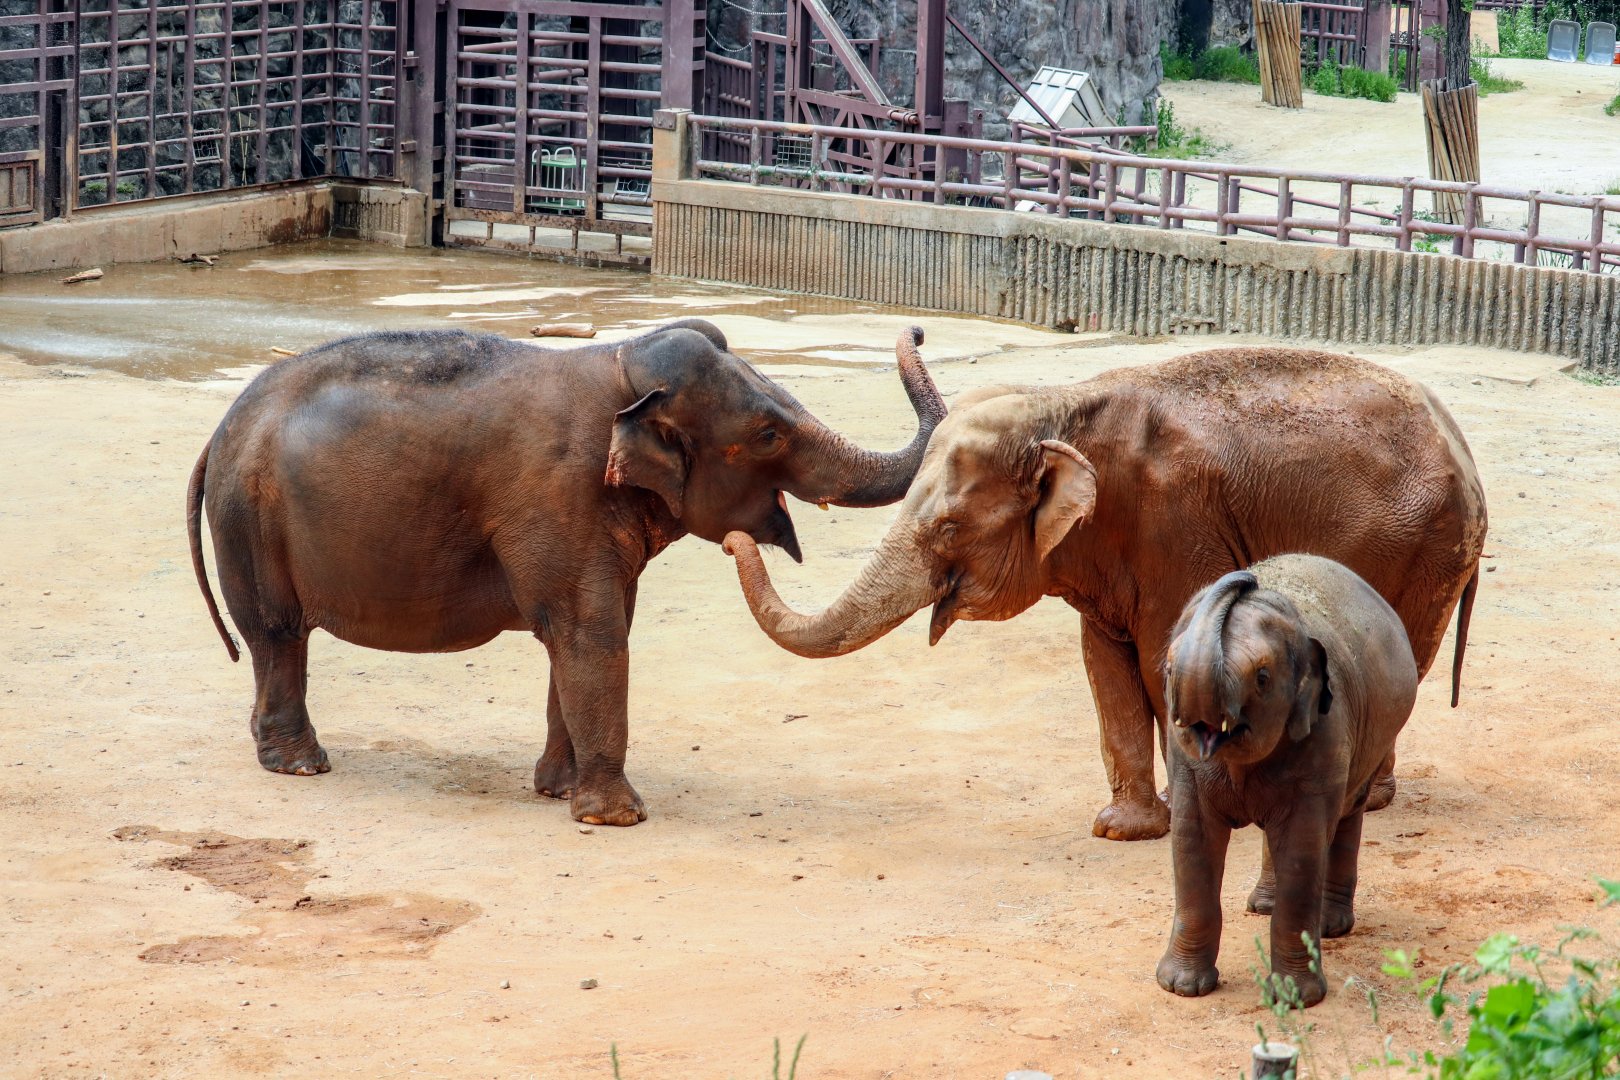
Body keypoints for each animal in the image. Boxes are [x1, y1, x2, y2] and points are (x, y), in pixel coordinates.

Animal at [188, 320, 943, 827]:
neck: (622, 368)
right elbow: (592, 631)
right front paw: (617, 817)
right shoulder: (558, 495)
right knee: (278, 634)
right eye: (767, 435)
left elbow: (583, 633)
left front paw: (556, 790)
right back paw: (300, 764)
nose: (917, 327)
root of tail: (220, 429)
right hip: (250, 521)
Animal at [722, 347, 1486, 840]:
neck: (1057, 409)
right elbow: (1104, 666)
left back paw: (1368, 798)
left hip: (1425, 547)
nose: (736, 539)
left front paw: (1190, 808)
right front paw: (1123, 829)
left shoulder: (1177, 529)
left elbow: (1160, 659)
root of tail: (1463, 447)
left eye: (948, 528)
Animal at [1155, 555, 1419, 1006]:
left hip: (1374, 738)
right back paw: (1262, 905)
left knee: (1348, 813)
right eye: (1169, 670)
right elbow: (1192, 839)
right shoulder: (1183, 758)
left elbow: (1301, 846)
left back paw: (1331, 927)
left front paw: (1295, 998)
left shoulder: (1326, 737)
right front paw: (1181, 987)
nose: (1247, 578)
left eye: (1262, 678)